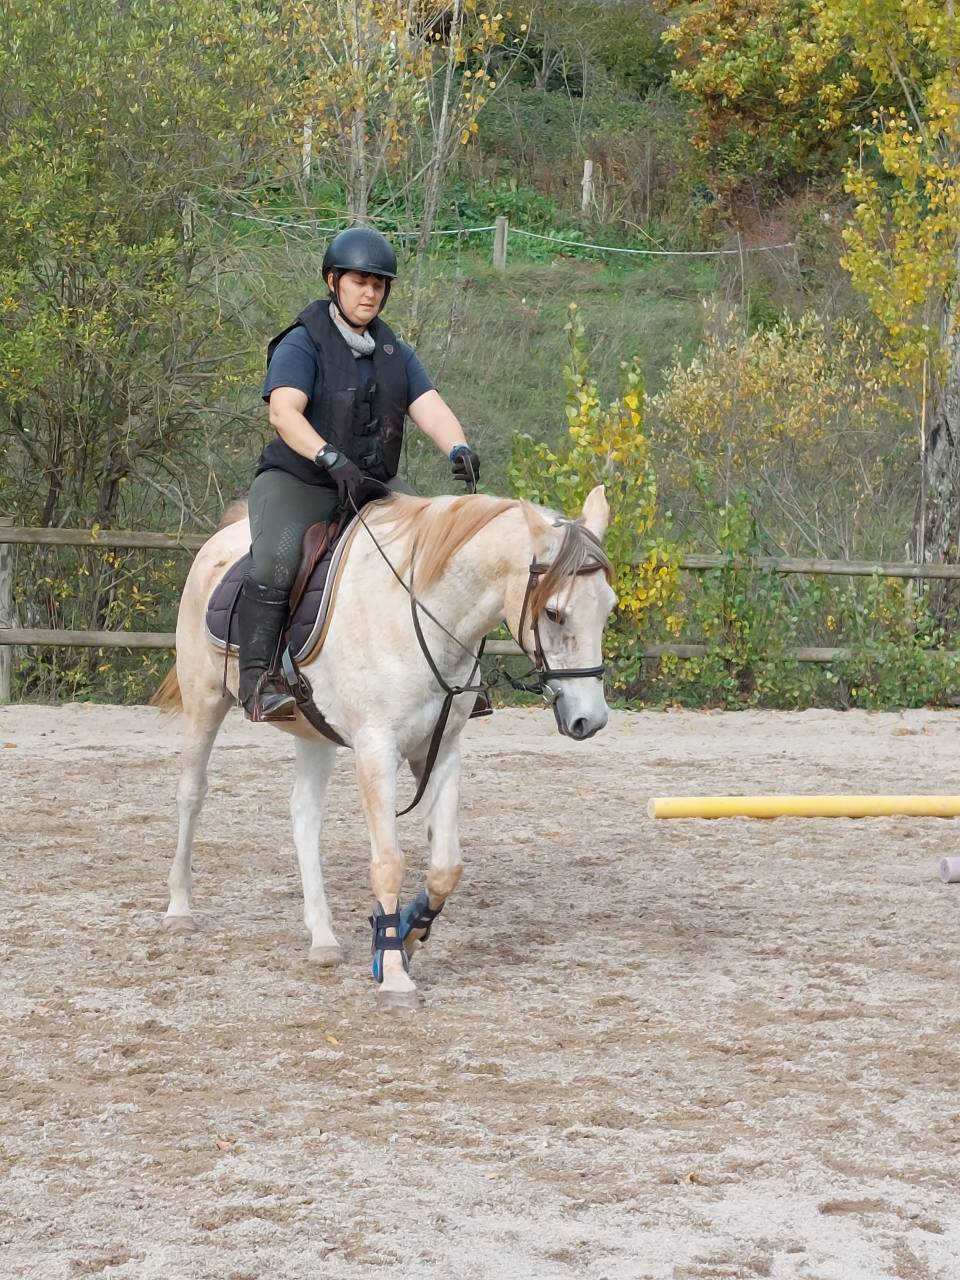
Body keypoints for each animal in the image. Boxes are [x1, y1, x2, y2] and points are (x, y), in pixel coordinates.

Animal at [152, 485, 616, 1009]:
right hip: (205, 701)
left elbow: (446, 866)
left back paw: (323, 938)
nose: (590, 720)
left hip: (314, 732)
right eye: (554, 612)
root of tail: (221, 540)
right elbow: (390, 863)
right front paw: (394, 973)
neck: (420, 615)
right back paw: (179, 910)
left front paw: (406, 934)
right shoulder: (378, 750)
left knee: (305, 816)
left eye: (608, 608)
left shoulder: (442, 750)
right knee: (191, 794)